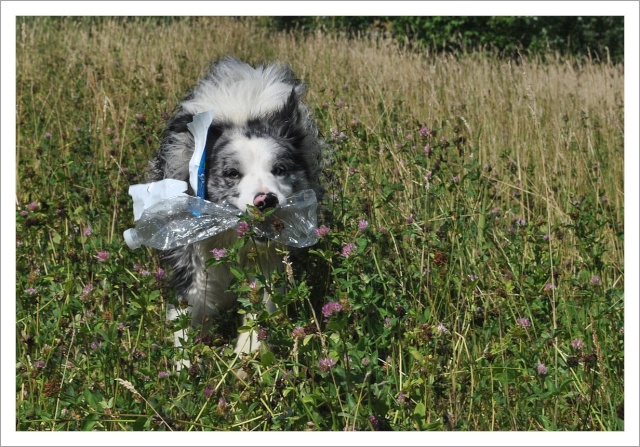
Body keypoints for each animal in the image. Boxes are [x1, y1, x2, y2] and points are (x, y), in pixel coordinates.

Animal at [148, 57, 322, 356]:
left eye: (280, 169)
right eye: (231, 173)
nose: (266, 200)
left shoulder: (269, 263)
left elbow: (261, 305)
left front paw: (246, 354)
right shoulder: (193, 262)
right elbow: (186, 317)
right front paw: (185, 363)